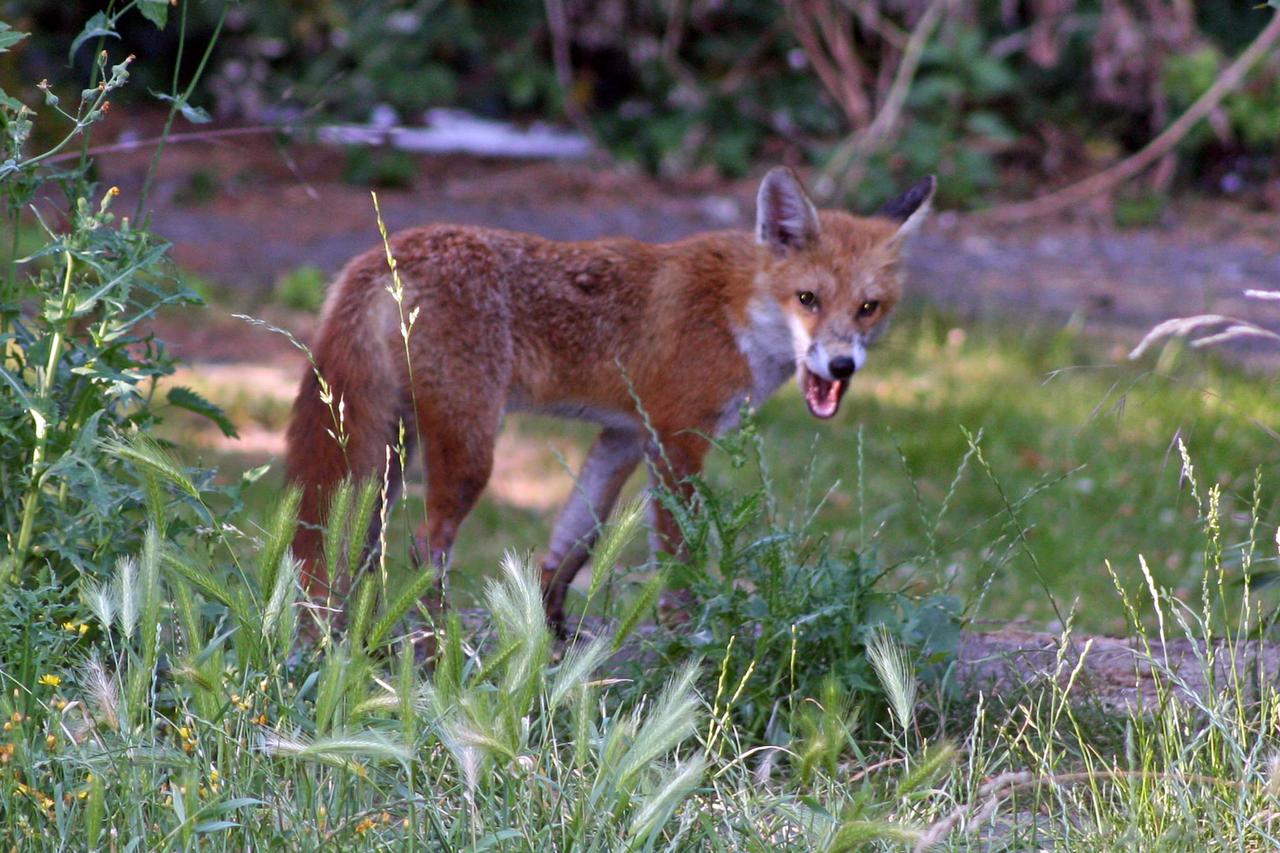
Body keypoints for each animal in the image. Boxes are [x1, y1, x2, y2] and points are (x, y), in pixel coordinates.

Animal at [284, 167, 935, 632]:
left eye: (868, 308)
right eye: (808, 299)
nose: (842, 365)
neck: (735, 312)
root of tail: (385, 251)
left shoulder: (625, 435)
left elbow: (574, 541)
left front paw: (549, 629)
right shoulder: (677, 438)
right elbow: (677, 556)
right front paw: (686, 636)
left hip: (395, 447)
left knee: (363, 541)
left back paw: (361, 631)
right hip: (468, 449)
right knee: (423, 547)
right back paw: (431, 638)